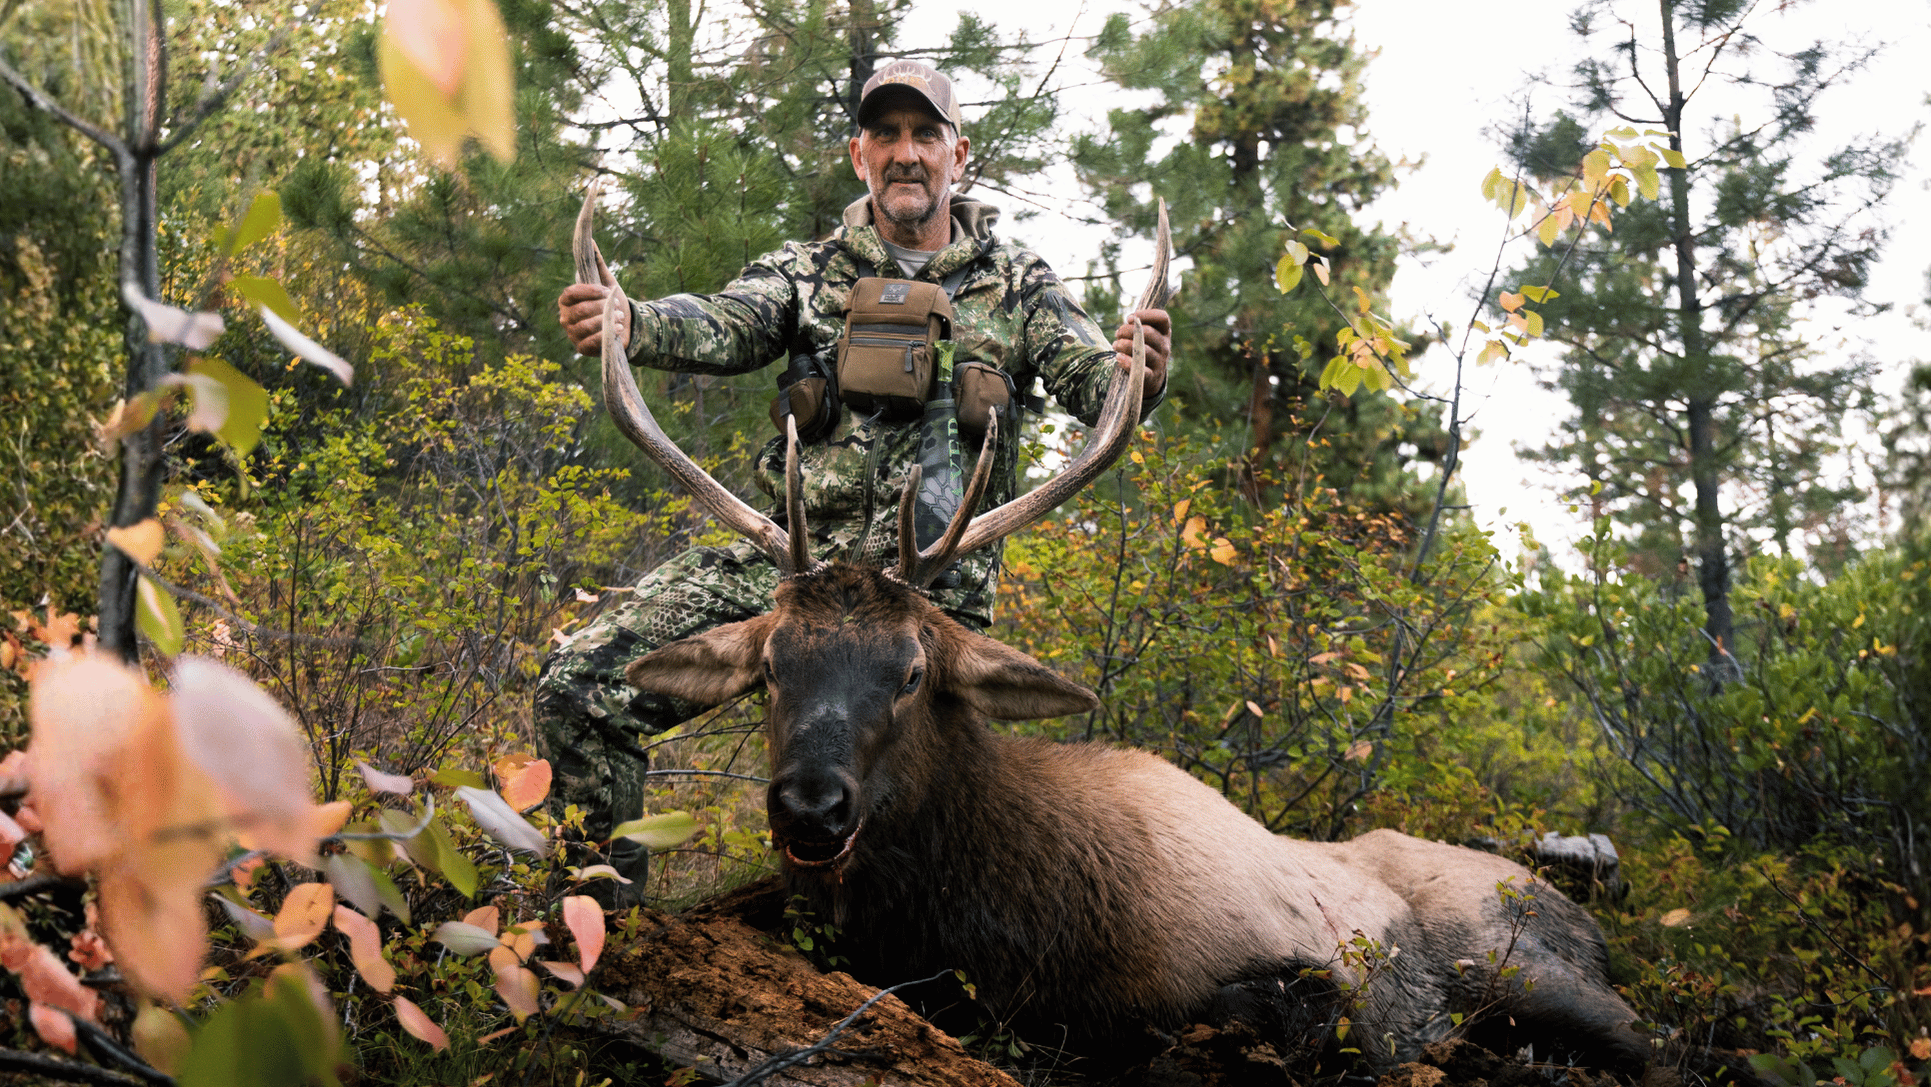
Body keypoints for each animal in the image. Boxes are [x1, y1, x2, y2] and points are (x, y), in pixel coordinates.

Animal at [577, 189, 1653, 1072]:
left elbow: (1279, 1008)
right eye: (769, 666)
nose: (810, 803)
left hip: (1529, 964)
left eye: (914, 669)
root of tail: (1570, 901)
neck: (986, 924)